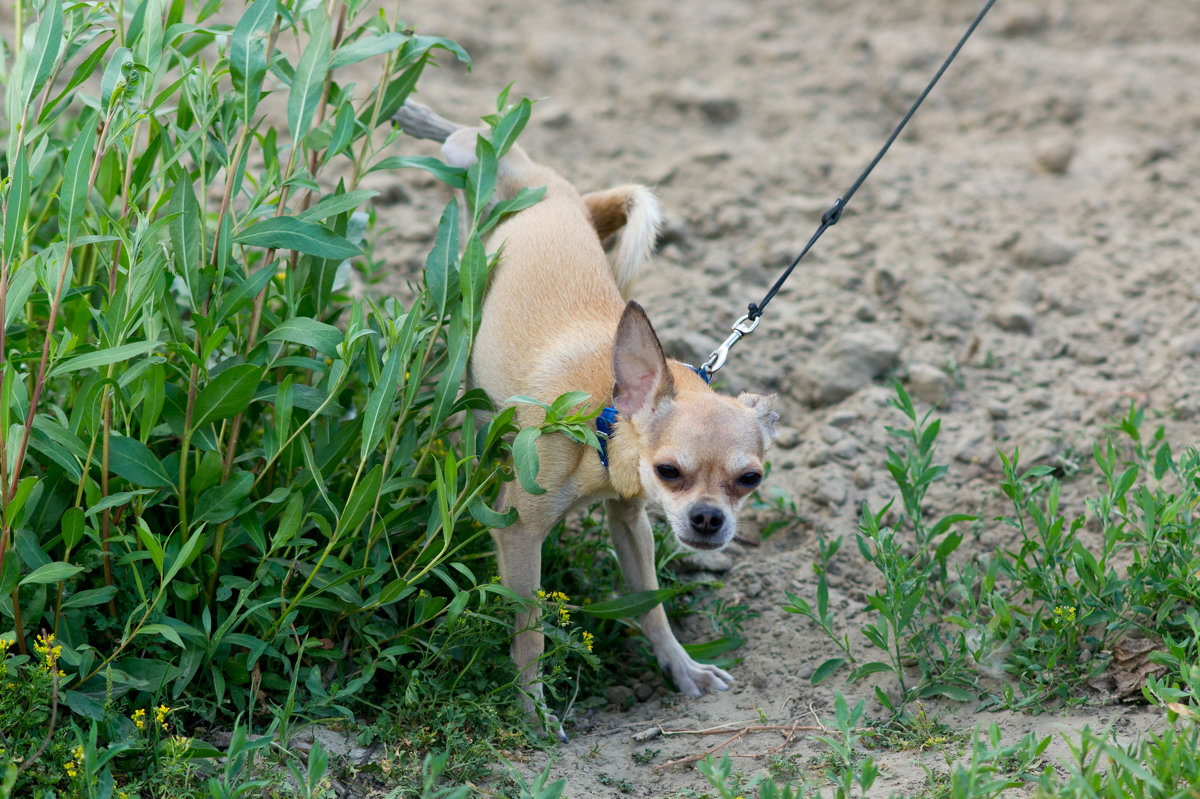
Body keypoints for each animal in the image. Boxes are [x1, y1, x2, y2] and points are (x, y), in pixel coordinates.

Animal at [441, 119, 777, 734]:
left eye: (750, 480)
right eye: (669, 471)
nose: (708, 520)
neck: (601, 415)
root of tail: (552, 188)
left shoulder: (631, 521)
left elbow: (653, 607)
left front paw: (682, 668)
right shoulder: (520, 534)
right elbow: (531, 633)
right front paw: (532, 709)